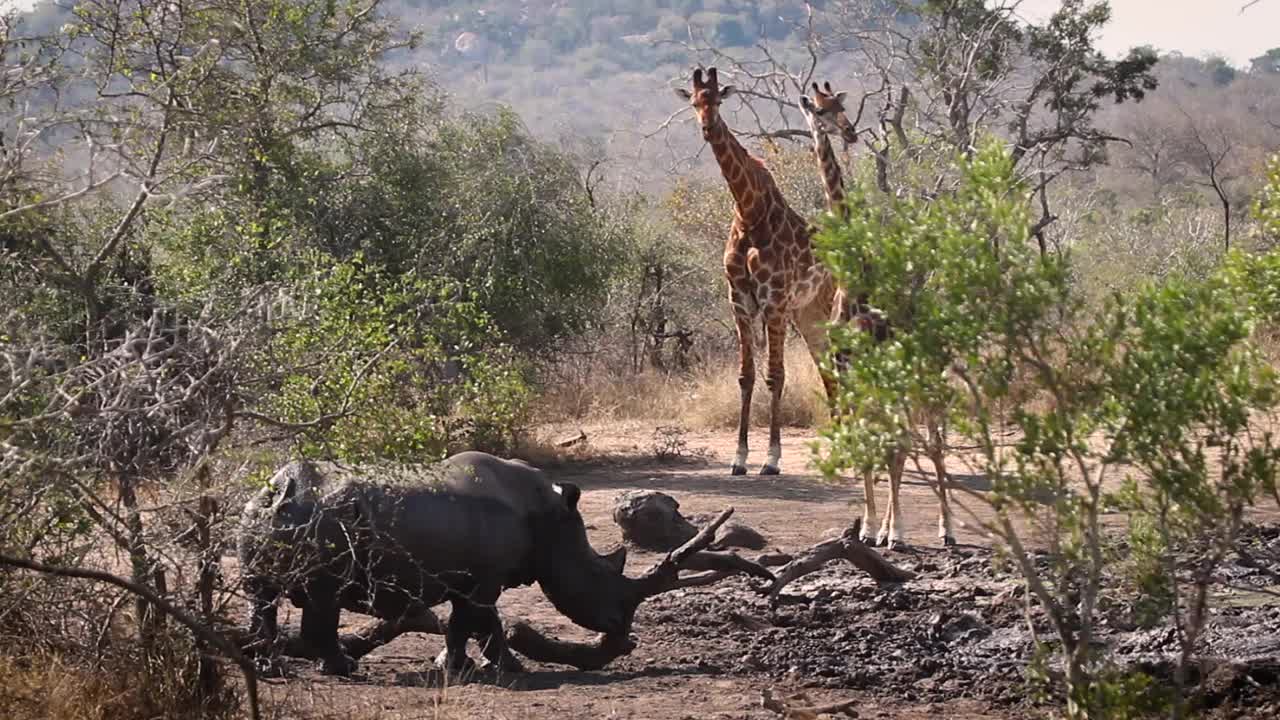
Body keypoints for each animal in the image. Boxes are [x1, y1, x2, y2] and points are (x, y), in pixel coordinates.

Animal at [675, 64, 844, 474]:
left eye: (718, 100)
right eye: (693, 101)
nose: (707, 128)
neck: (749, 211)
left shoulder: (773, 300)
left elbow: (774, 376)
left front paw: (771, 458)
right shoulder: (739, 300)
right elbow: (746, 377)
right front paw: (739, 458)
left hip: (819, 307)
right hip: (807, 313)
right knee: (826, 366)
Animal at [793, 81, 957, 543]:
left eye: (841, 106)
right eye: (820, 110)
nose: (849, 132)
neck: (855, 278)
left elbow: (893, 447)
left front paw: (895, 531)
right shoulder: (845, 367)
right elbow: (868, 445)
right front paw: (869, 527)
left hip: (923, 378)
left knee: (931, 439)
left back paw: (945, 528)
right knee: (905, 438)